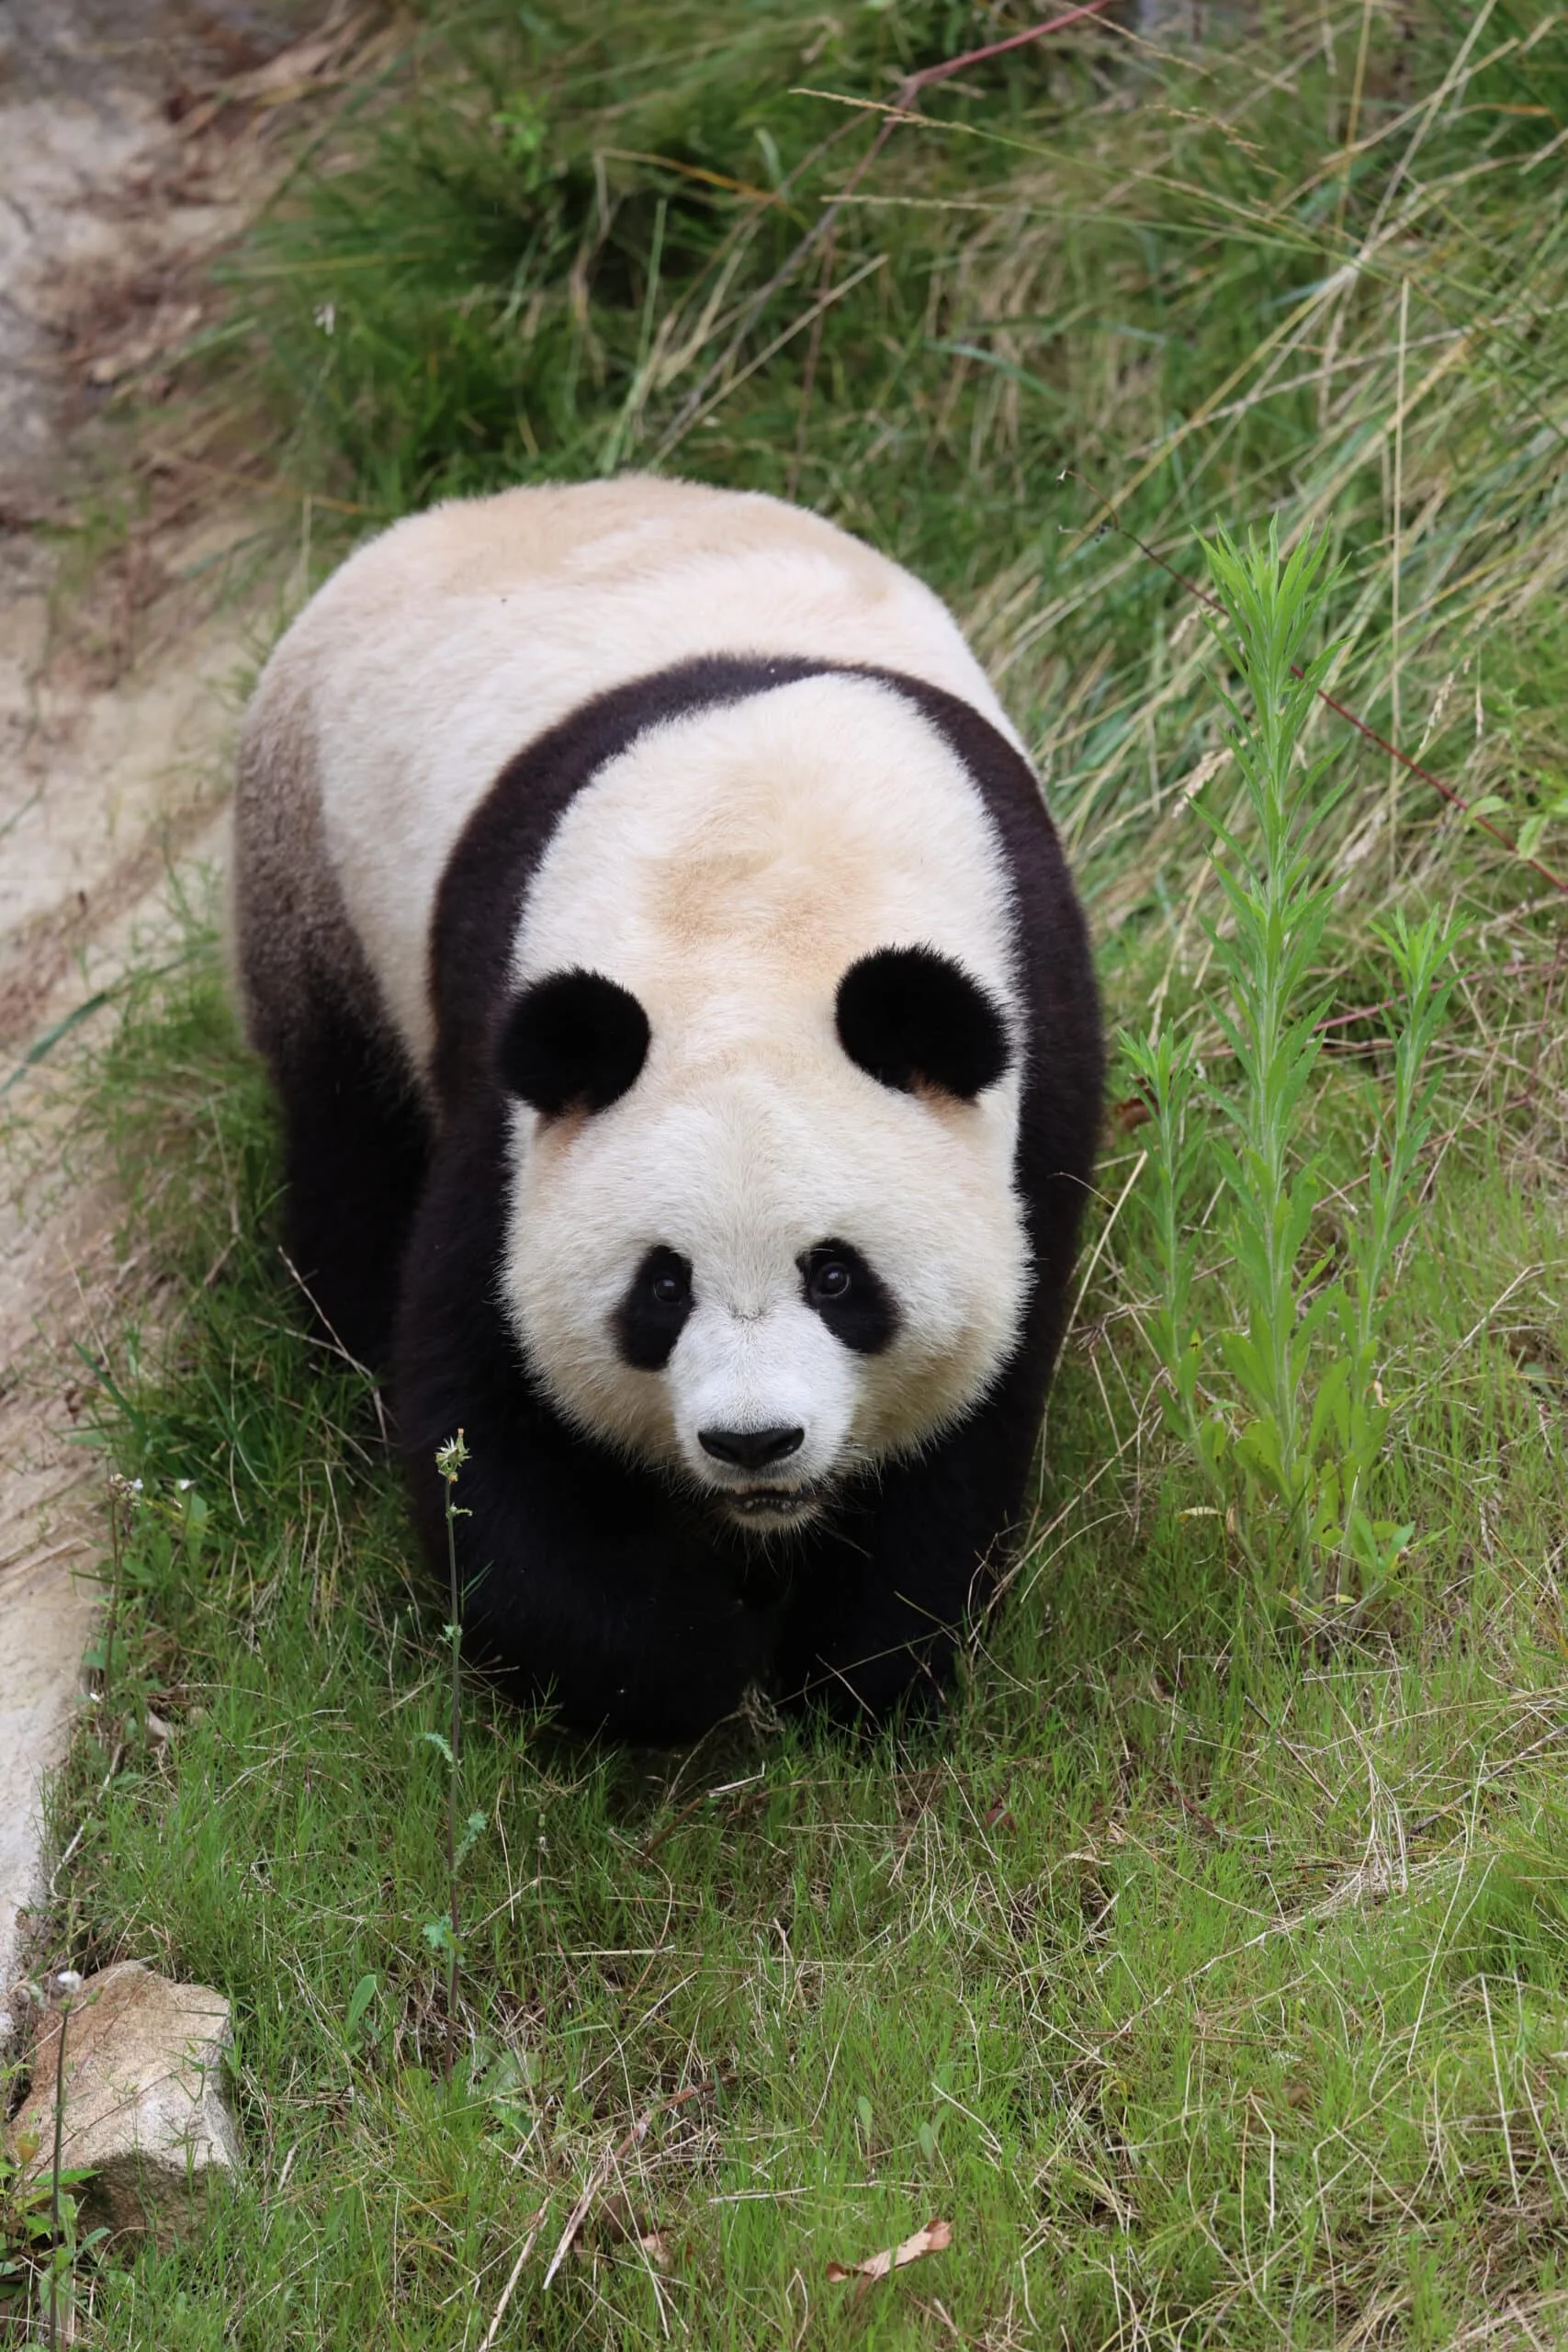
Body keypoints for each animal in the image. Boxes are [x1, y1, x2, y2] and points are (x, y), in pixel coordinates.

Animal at [232, 476, 1102, 1743]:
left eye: (837, 1276)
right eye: (661, 1287)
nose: (755, 1443)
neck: (761, 901)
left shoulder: (1034, 1053)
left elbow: (980, 1399)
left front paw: (861, 1671)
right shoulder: (516, 1083)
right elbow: (482, 1412)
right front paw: (695, 1658)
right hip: (316, 885)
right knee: (349, 1145)